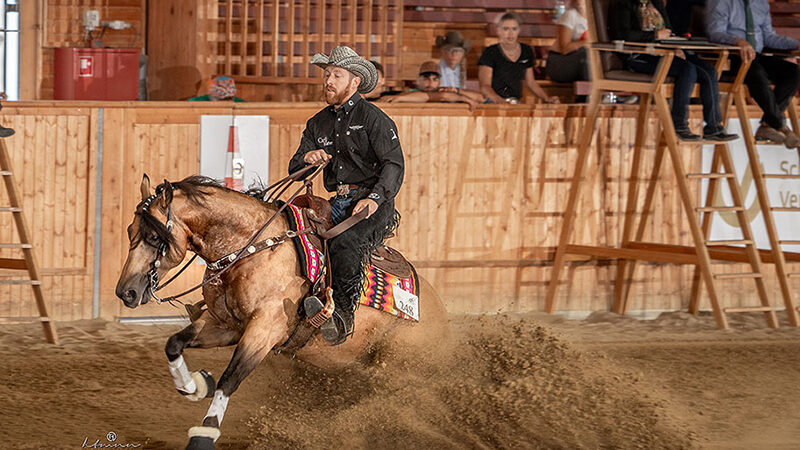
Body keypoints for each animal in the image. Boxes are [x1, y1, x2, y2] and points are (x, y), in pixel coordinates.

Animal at [113, 174, 450, 448]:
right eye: (129, 230)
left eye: (154, 237)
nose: (125, 292)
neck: (252, 248)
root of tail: (437, 309)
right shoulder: (225, 324)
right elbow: (174, 343)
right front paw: (194, 385)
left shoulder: (265, 330)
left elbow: (230, 379)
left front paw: (203, 436)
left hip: (399, 364)